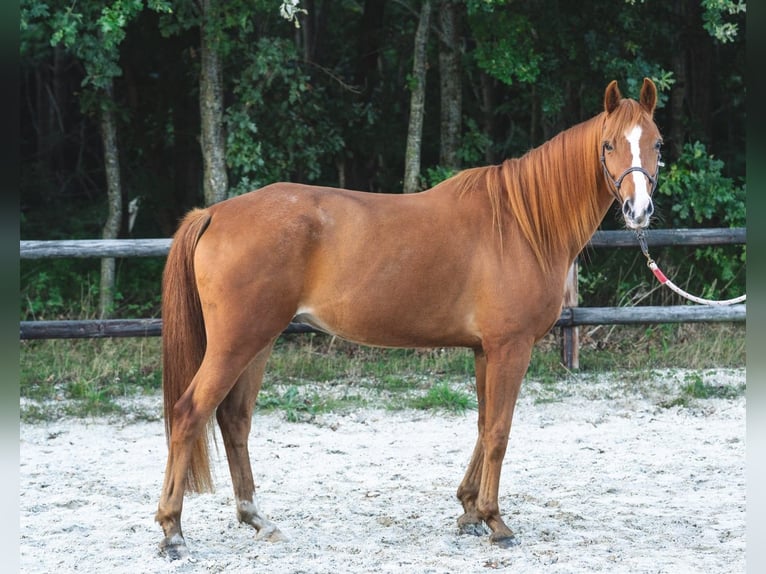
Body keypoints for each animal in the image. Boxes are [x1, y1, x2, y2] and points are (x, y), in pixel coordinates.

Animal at [156, 78, 662, 558]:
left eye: (657, 144)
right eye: (609, 145)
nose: (638, 210)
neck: (522, 225)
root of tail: (214, 213)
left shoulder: (484, 350)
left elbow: (483, 426)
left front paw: (469, 511)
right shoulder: (510, 347)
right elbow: (499, 431)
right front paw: (496, 522)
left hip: (258, 342)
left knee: (234, 420)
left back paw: (257, 519)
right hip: (236, 343)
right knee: (188, 414)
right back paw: (173, 531)